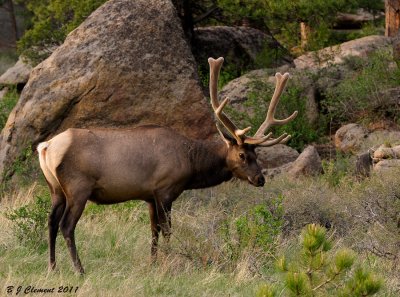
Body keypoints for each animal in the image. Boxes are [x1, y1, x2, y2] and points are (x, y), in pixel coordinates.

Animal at [38, 57, 296, 272]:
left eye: (257, 154)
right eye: (242, 155)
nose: (260, 179)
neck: (191, 165)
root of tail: (46, 147)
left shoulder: (150, 196)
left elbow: (153, 231)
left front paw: (153, 263)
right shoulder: (165, 190)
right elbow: (168, 230)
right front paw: (169, 261)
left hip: (55, 188)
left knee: (50, 222)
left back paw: (52, 267)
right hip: (78, 187)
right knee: (66, 225)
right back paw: (79, 269)